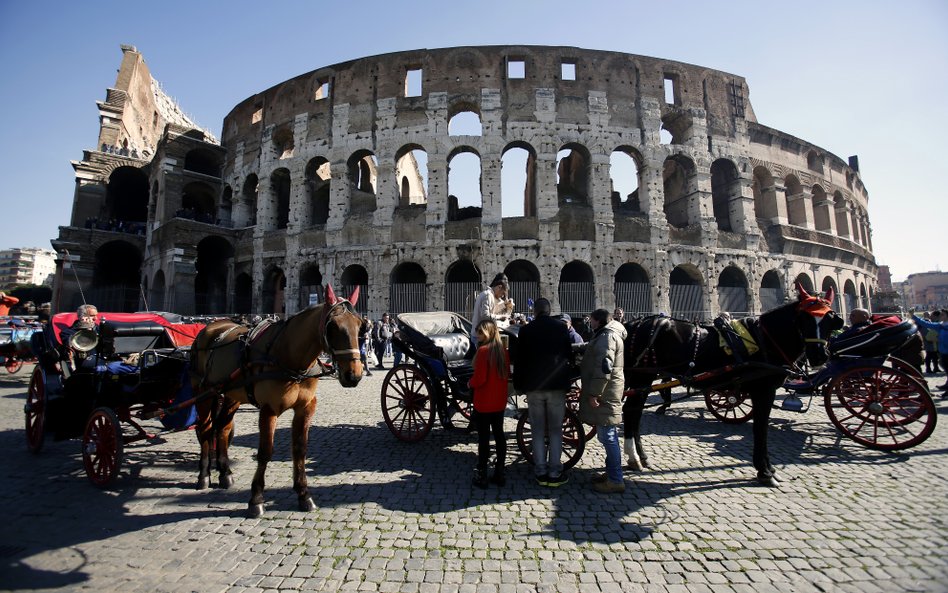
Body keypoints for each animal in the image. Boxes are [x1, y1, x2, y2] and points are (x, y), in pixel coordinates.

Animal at [190, 284, 362, 516]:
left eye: (360, 325)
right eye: (332, 326)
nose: (353, 375)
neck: (291, 357)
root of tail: (212, 326)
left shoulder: (306, 407)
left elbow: (300, 449)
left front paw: (304, 495)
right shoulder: (268, 409)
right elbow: (265, 452)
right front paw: (256, 500)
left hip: (232, 395)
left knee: (223, 428)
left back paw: (225, 473)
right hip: (203, 391)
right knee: (206, 429)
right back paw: (204, 476)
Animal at [624, 286, 844, 486]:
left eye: (829, 320)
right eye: (803, 319)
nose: (819, 355)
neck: (765, 340)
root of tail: (633, 323)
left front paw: (768, 469)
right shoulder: (764, 390)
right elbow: (760, 429)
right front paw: (765, 471)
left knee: (634, 412)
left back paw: (640, 457)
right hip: (641, 377)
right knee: (631, 410)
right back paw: (635, 456)